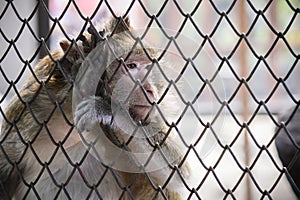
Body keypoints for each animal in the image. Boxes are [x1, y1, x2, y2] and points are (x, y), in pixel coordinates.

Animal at [0, 17, 190, 200]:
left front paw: (104, 110)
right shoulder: (29, 109)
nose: (150, 90)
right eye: (131, 66)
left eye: (148, 67)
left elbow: (179, 174)